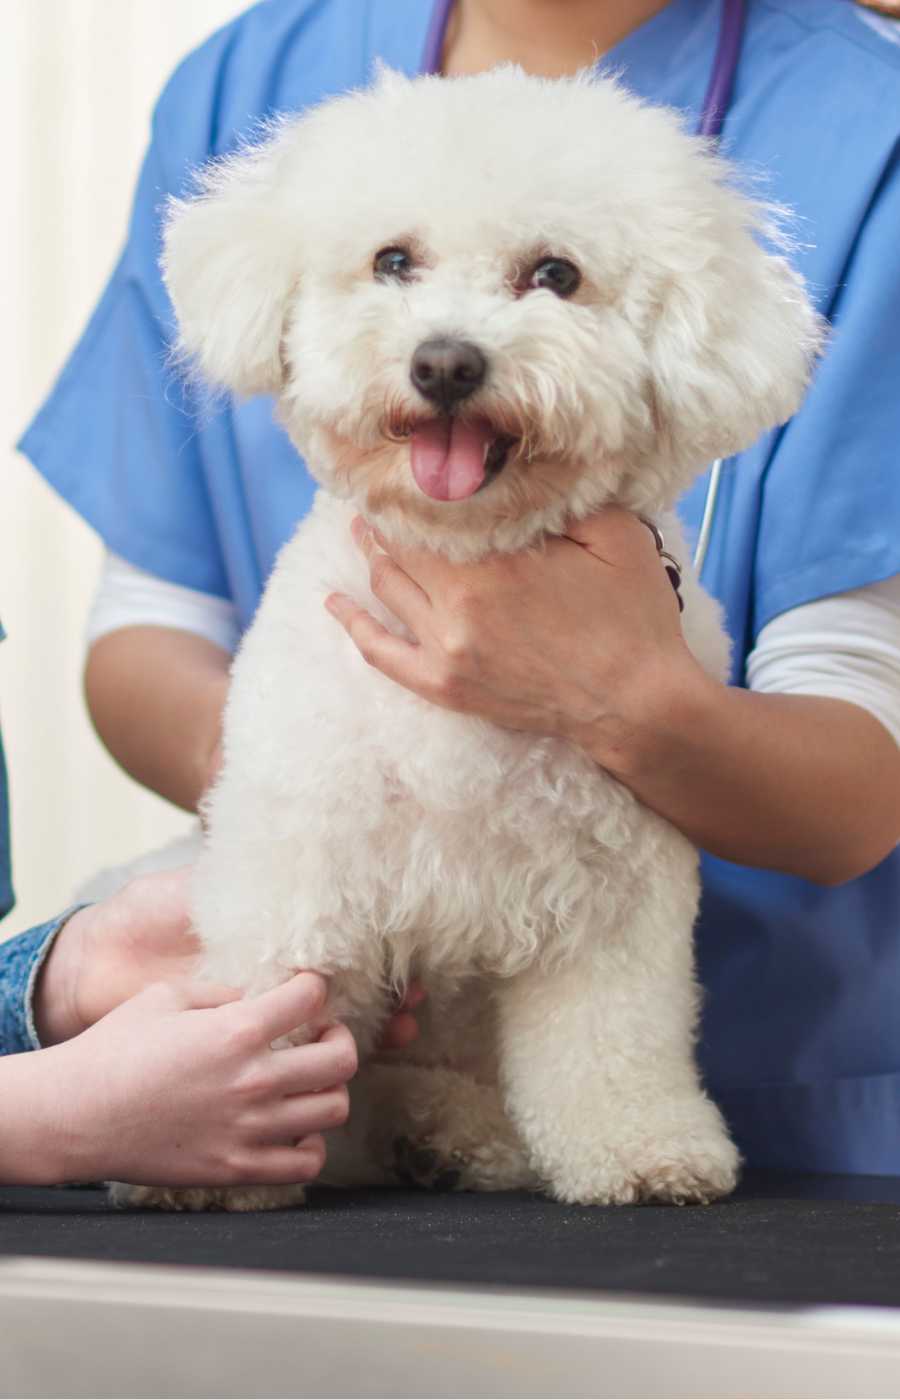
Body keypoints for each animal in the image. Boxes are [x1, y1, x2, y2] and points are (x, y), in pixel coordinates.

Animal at [112, 65, 823, 1209]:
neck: (467, 558)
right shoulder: (297, 855)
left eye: (556, 274)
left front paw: (642, 1149)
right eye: (393, 261)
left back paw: (452, 1135)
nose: (446, 361)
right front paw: (197, 1134)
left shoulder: (615, 895)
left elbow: (613, 1041)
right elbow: (277, 986)